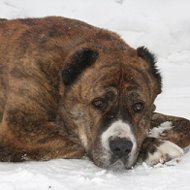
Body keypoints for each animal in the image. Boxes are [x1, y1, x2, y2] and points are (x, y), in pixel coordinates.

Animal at [0, 16, 189, 169]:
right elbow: (80, 141)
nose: (121, 147)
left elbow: (184, 124)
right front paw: (156, 147)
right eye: (98, 103)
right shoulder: (19, 131)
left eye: (138, 106)